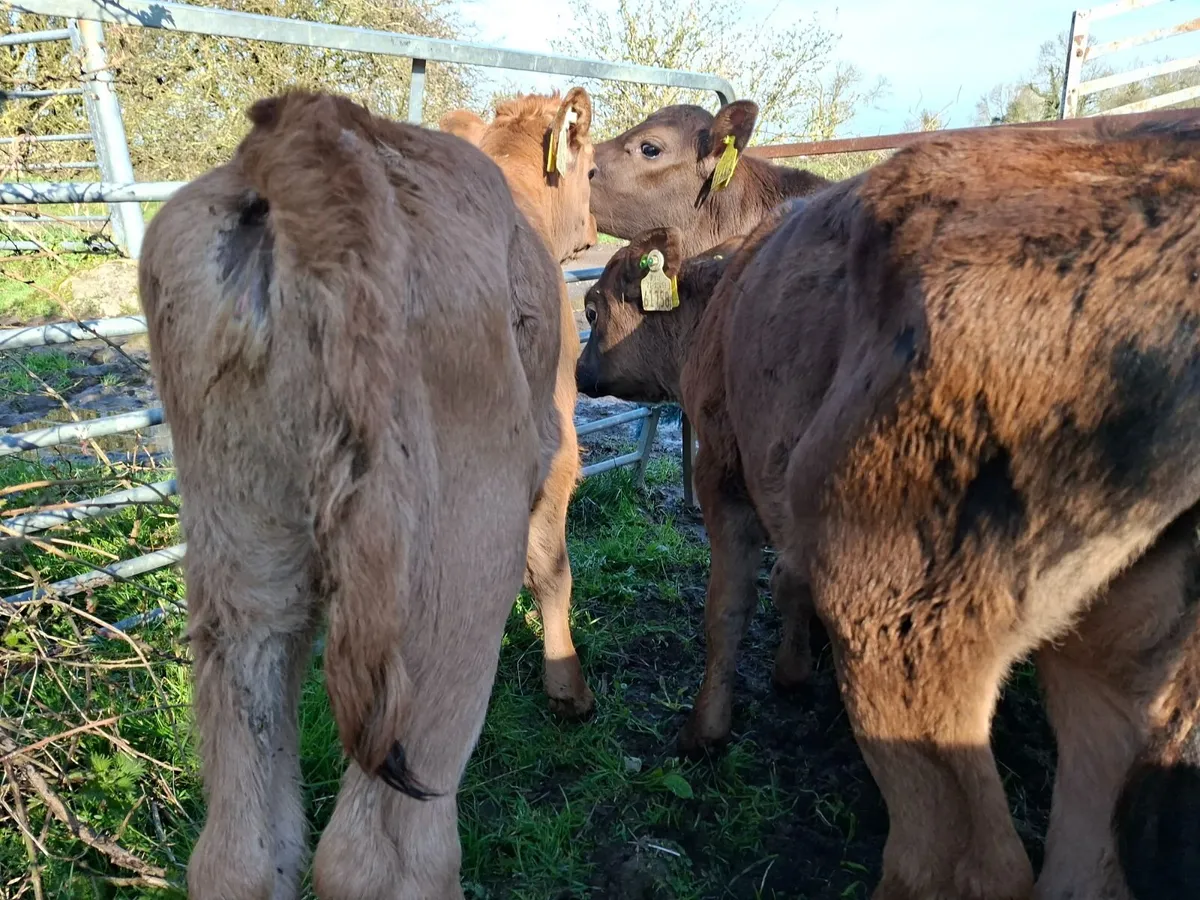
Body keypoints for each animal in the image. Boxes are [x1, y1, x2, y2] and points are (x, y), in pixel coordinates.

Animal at [139, 90, 569, 900]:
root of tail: (308, 129)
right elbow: (554, 565)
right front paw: (570, 691)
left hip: (240, 548)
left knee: (240, 853)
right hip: (448, 580)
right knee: (384, 858)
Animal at [579, 121, 1200, 899]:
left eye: (592, 310)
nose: (579, 372)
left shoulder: (725, 475)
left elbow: (726, 611)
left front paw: (704, 733)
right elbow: (786, 584)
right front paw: (792, 672)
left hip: (900, 613)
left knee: (960, 858)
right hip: (1121, 659)